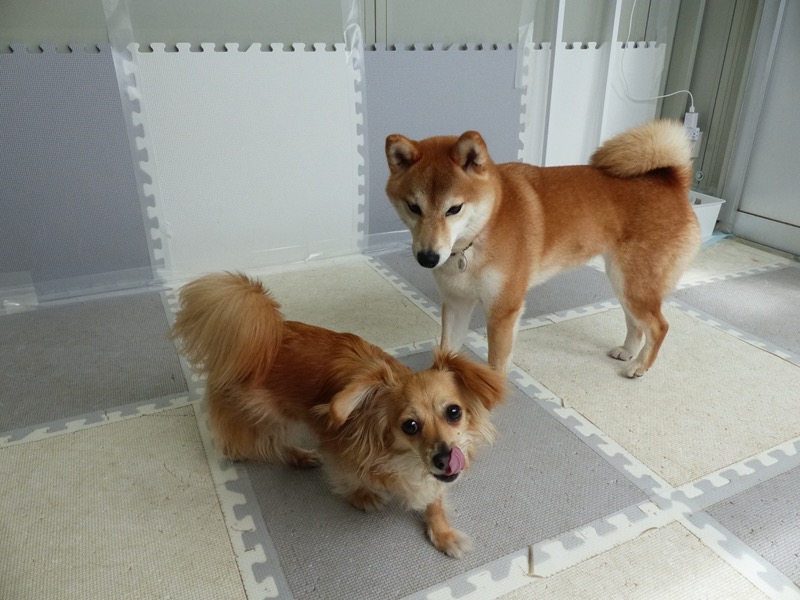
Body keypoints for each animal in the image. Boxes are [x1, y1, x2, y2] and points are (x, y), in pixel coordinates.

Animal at [170, 272, 506, 557]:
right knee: (258, 441)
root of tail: (266, 334)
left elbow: (435, 498)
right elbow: (347, 477)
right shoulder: (337, 445)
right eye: (410, 426)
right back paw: (282, 454)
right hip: (267, 415)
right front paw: (362, 496)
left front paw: (444, 534)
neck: (404, 459)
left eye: (454, 412)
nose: (445, 457)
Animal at [385, 120, 700, 378]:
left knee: (659, 326)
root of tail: (673, 181)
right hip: (624, 283)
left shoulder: (504, 308)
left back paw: (639, 366)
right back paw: (628, 352)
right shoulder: (456, 302)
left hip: (634, 284)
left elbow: (496, 363)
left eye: (454, 209)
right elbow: (447, 350)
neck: (476, 238)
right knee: (637, 323)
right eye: (413, 207)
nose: (428, 258)